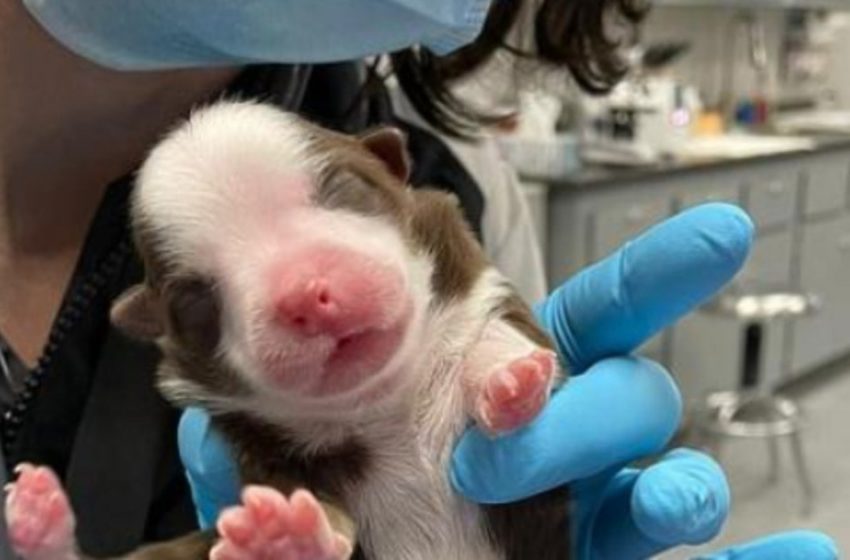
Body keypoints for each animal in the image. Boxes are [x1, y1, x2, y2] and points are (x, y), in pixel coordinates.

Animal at [4, 101, 568, 560]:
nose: (303, 296)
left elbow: (493, 333)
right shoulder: (264, 452)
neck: (382, 401)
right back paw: (39, 523)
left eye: (341, 188)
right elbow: (309, 503)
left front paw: (510, 380)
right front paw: (283, 536)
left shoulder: (478, 292)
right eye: (195, 299)